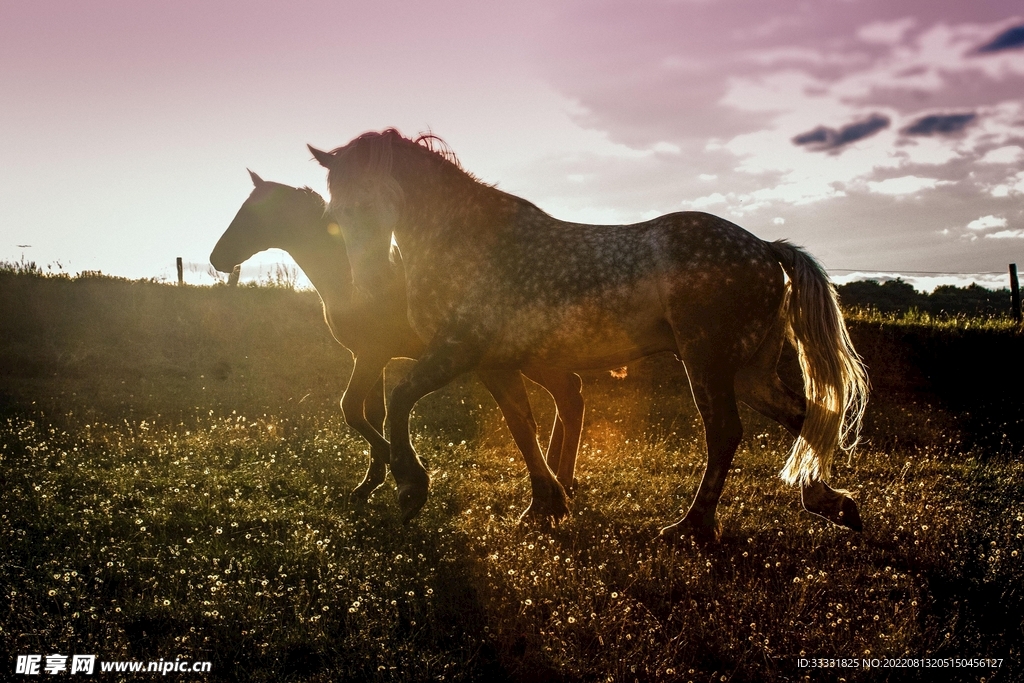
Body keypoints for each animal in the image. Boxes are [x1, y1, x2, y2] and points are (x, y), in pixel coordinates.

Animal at [209, 171, 588, 507]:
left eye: (253, 215)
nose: (217, 258)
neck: (354, 278)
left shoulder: (371, 355)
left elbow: (352, 409)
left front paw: (406, 472)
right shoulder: (368, 357)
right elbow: (372, 413)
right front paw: (371, 483)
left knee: (569, 397)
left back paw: (561, 481)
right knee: (569, 393)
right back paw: (559, 479)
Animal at [310, 129, 869, 542]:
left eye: (372, 206)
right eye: (335, 215)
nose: (369, 288)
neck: (464, 241)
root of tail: (766, 249)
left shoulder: (456, 352)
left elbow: (400, 398)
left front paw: (410, 487)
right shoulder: (495, 363)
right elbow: (522, 428)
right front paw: (545, 505)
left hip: (707, 363)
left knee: (726, 433)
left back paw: (692, 527)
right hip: (750, 372)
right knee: (805, 415)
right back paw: (831, 504)